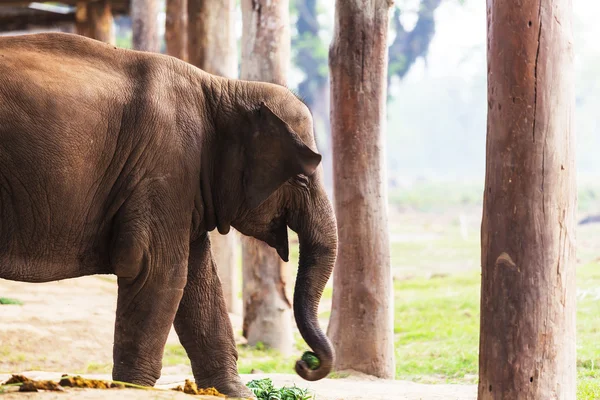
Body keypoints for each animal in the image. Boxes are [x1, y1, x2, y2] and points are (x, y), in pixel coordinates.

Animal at [0, 32, 338, 396]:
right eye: (301, 177)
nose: (304, 363)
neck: (223, 88)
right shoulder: (166, 166)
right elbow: (158, 270)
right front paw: (133, 389)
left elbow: (199, 280)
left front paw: (236, 393)